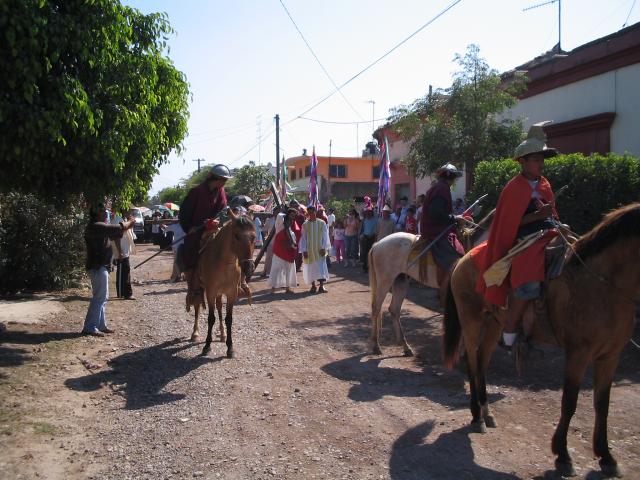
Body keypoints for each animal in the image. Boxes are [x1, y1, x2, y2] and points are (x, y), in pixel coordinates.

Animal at [188, 213, 255, 356]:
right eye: (236, 235)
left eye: (254, 237)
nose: (249, 267)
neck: (224, 264)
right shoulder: (211, 292)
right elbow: (210, 318)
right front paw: (207, 346)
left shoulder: (231, 293)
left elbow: (228, 319)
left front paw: (230, 347)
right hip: (199, 287)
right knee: (197, 306)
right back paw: (195, 333)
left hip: (220, 293)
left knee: (219, 307)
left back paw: (223, 334)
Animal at [364, 210, 496, 356]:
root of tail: (377, 244)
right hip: (385, 280)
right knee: (376, 307)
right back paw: (376, 345)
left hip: (400, 280)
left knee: (394, 309)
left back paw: (405, 346)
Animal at [442, 202, 640, 476]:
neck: (603, 283)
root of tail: (463, 258)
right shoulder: (578, 354)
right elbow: (569, 402)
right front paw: (563, 455)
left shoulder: (610, 356)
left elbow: (602, 404)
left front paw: (606, 457)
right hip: (471, 321)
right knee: (472, 361)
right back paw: (476, 416)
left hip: (494, 323)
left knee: (481, 361)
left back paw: (486, 411)